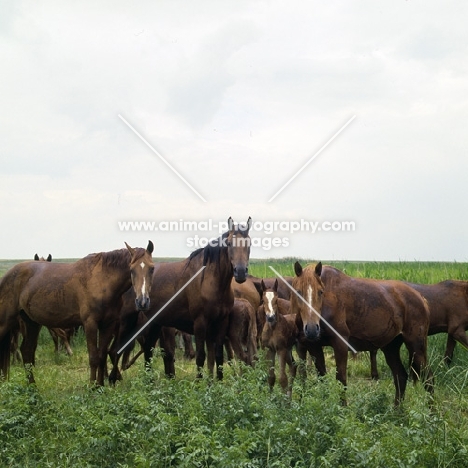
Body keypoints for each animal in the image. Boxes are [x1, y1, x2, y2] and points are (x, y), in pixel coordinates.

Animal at [0, 239, 154, 386]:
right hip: (7, 322)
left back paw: (33, 390)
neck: (102, 281)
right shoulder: (90, 323)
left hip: (31, 323)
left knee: (27, 352)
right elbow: (93, 357)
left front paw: (100, 385)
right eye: (131, 269)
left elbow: (102, 355)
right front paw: (92, 387)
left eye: (152, 268)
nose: (142, 302)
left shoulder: (108, 325)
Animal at [109, 218, 252, 382]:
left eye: (249, 243)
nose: (240, 272)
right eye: (229, 243)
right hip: (127, 323)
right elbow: (201, 357)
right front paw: (199, 383)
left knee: (147, 351)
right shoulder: (200, 323)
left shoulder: (221, 323)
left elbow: (218, 357)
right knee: (115, 351)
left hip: (153, 324)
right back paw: (113, 379)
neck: (210, 281)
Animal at [296, 266, 436, 406]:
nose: (312, 329)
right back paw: (397, 410)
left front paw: (343, 409)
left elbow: (341, 379)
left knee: (428, 378)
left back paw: (432, 411)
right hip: (391, 347)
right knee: (400, 376)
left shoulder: (340, 343)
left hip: (416, 347)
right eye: (298, 292)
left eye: (320, 292)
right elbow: (322, 378)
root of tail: (421, 298)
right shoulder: (314, 347)